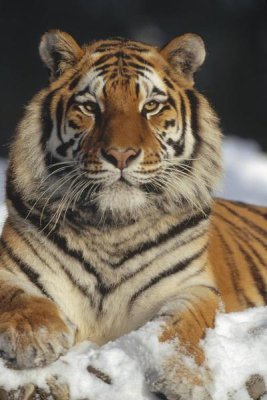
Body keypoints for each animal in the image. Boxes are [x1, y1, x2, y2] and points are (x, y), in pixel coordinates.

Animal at [1, 28, 266, 400]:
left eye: (151, 106)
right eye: (90, 107)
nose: (121, 155)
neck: (112, 226)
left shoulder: (192, 287)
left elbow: (183, 326)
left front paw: (184, 377)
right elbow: (17, 296)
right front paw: (36, 338)